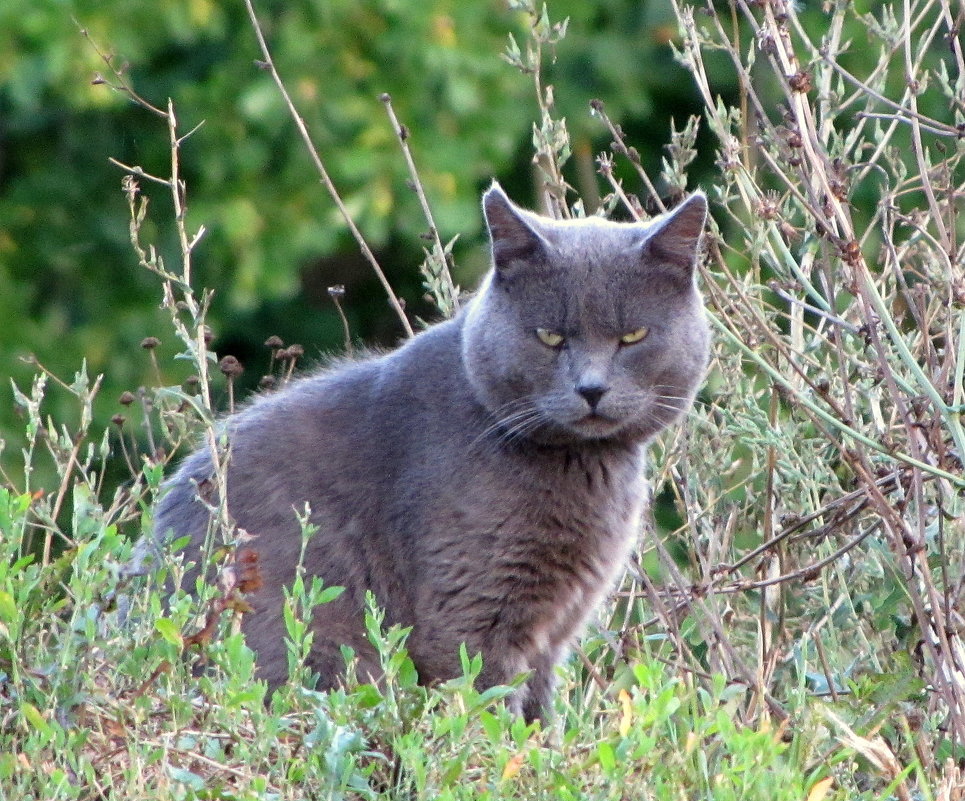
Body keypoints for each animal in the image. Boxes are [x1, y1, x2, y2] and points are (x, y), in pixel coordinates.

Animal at [153, 184, 708, 720]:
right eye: (550, 336)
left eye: (633, 335)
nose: (591, 388)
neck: (588, 469)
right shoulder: (472, 610)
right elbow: (487, 708)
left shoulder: (553, 631)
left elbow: (538, 712)